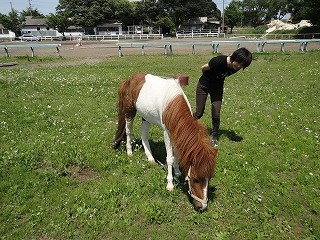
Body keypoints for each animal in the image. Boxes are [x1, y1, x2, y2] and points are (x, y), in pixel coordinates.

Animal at [113, 73, 218, 212]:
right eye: (195, 179)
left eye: (209, 179)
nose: (202, 207)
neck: (172, 104)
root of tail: (129, 79)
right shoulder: (167, 133)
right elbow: (170, 159)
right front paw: (170, 184)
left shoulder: (176, 132)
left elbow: (177, 155)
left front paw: (177, 172)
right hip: (129, 111)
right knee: (128, 130)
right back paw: (129, 151)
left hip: (145, 116)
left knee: (144, 134)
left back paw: (150, 157)